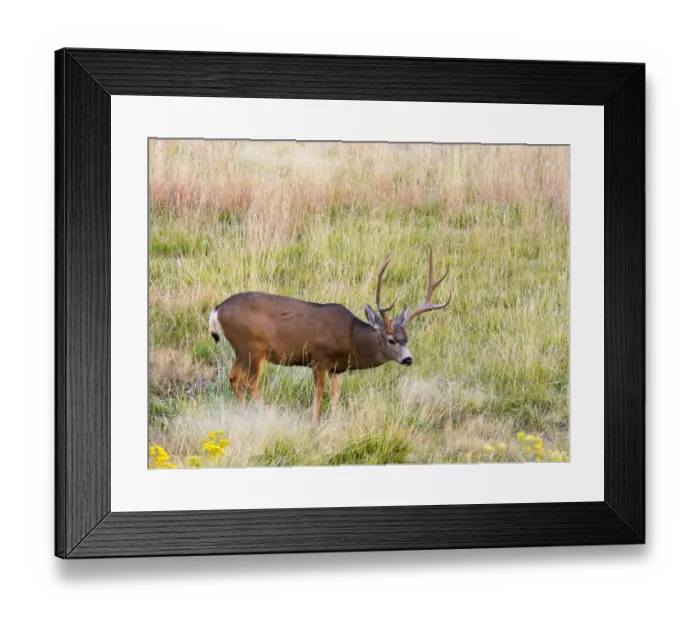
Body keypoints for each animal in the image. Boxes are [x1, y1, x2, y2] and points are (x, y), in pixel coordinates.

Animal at [208, 247, 451, 424]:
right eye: (391, 340)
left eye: (406, 339)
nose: (408, 359)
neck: (351, 338)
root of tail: (217, 310)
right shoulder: (319, 358)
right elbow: (319, 393)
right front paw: (315, 422)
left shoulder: (336, 368)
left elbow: (334, 395)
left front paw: (334, 421)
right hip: (253, 347)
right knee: (250, 382)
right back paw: (266, 414)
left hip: (242, 350)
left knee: (233, 377)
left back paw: (246, 412)